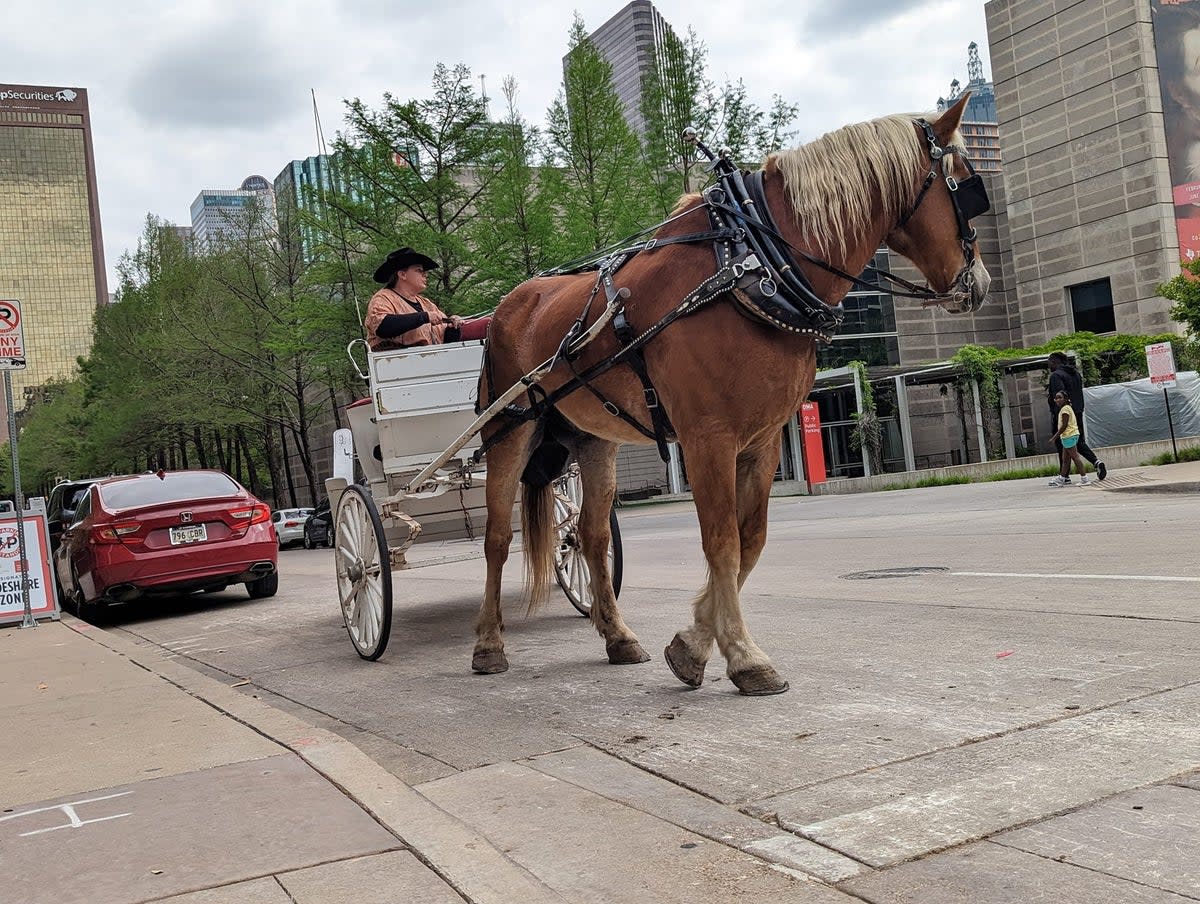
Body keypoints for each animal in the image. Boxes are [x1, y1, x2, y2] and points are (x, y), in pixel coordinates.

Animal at [472, 95, 988, 696]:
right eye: (966, 185)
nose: (980, 283)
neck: (751, 267)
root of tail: (507, 307)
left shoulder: (761, 441)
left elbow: (750, 540)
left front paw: (694, 643)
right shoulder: (708, 440)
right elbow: (721, 543)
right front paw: (743, 656)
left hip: (595, 441)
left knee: (592, 536)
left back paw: (617, 635)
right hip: (508, 431)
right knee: (495, 539)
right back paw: (489, 644)